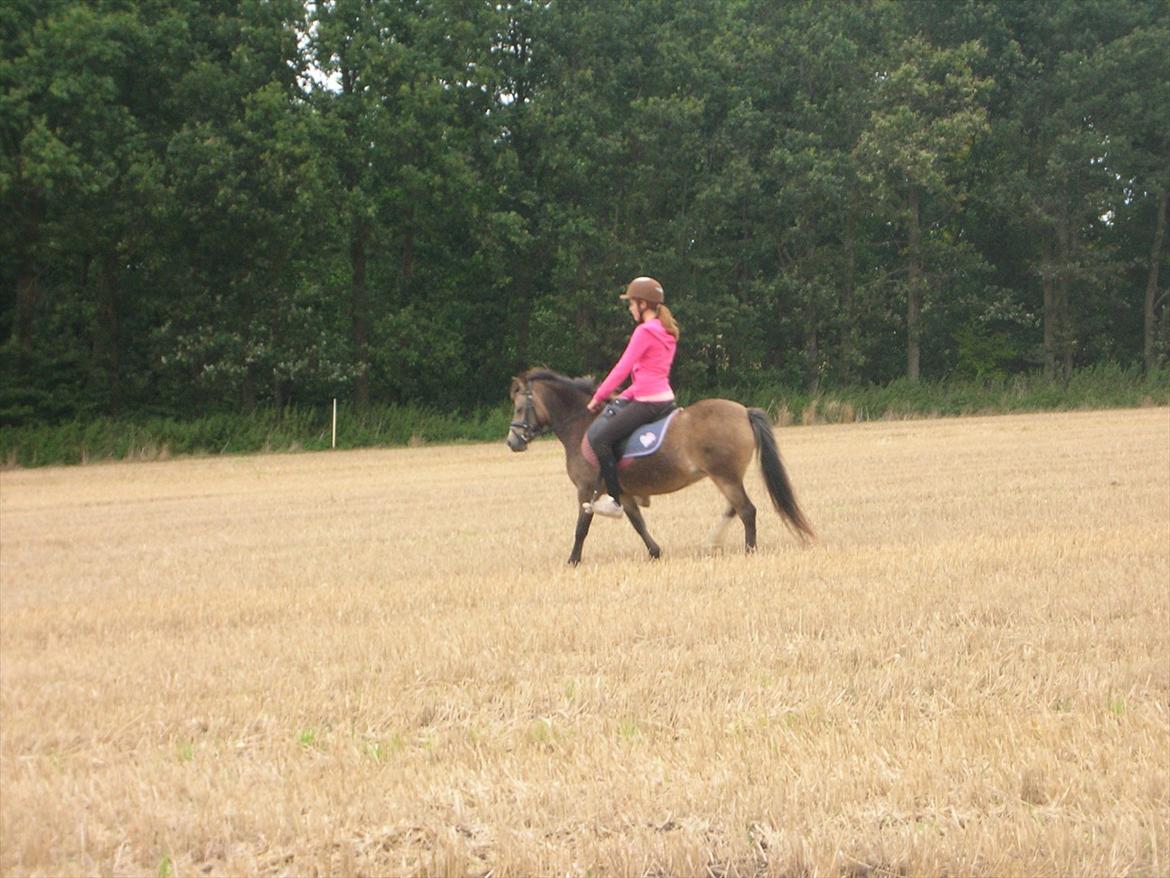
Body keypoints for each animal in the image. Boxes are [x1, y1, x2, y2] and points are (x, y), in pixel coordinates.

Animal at [506, 368, 815, 565]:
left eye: (520, 408)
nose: (512, 442)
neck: (581, 425)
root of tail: (744, 410)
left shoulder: (585, 490)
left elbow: (582, 527)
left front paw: (572, 560)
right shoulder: (623, 492)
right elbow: (637, 522)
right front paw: (655, 552)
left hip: (724, 475)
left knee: (747, 510)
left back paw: (749, 551)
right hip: (727, 476)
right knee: (734, 508)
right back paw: (712, 543)